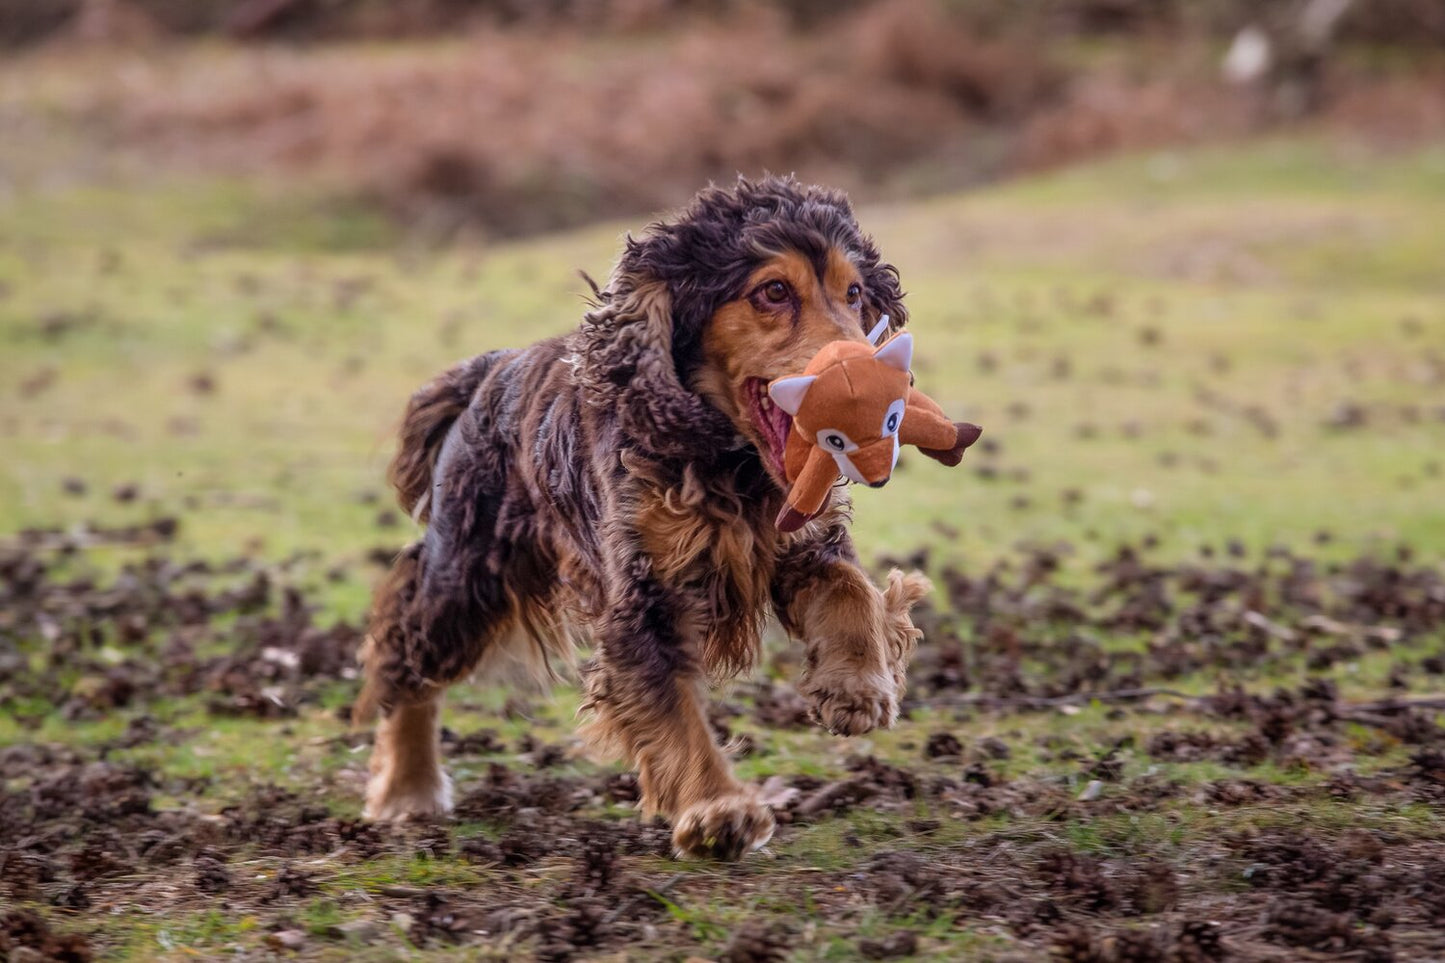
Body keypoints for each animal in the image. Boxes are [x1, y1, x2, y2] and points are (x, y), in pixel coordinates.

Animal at [355, 176, 976, 856]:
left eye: (855, 292)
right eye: (774, 291)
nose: (877, 375)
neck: (725, 457)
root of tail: (490, 370)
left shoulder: (802, 541)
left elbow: (850, 589)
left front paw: (856, 687)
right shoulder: (643, 588)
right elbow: (672, 707)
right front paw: (716, 809)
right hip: (467, 575)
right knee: (405, 653)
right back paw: (407, 789)